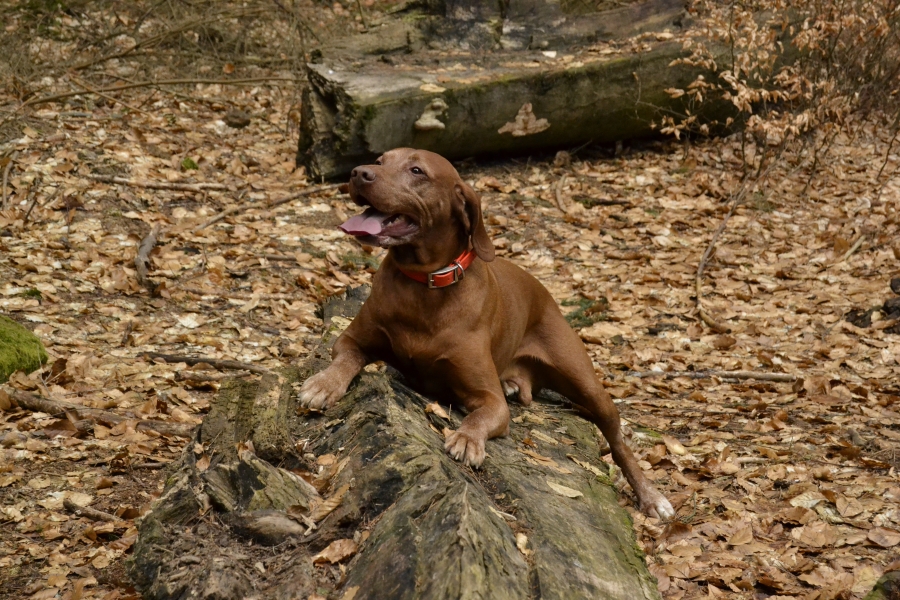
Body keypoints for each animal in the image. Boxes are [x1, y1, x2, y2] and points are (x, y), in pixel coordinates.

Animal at [298, 148, 673, 518]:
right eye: (379, 161)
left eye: (417, 171)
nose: (357, 173)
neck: (425, 285)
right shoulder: (353, 339)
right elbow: (345, 359)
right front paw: (324, 384)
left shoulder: (489, 399)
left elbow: (480, 416)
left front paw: (467, 439)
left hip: (587, 383)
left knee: (619, 443)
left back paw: (652, 497)